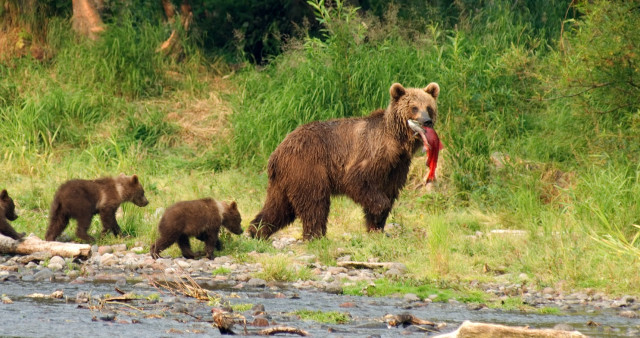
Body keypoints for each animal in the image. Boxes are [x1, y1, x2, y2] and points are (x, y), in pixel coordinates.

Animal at [249, 82, 440, 240]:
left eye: (429, 107)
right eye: (414, 107)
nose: (427, 121)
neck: (396, 142)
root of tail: (277, 152)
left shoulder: (396, 168)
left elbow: (389, 191)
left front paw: (377, 228)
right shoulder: (369, 156)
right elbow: (358, 181)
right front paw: (380, 211)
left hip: (285, 179)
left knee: (279, 207)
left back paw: (256, 230)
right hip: (307, 167)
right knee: (315, 203)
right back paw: (316, 236)